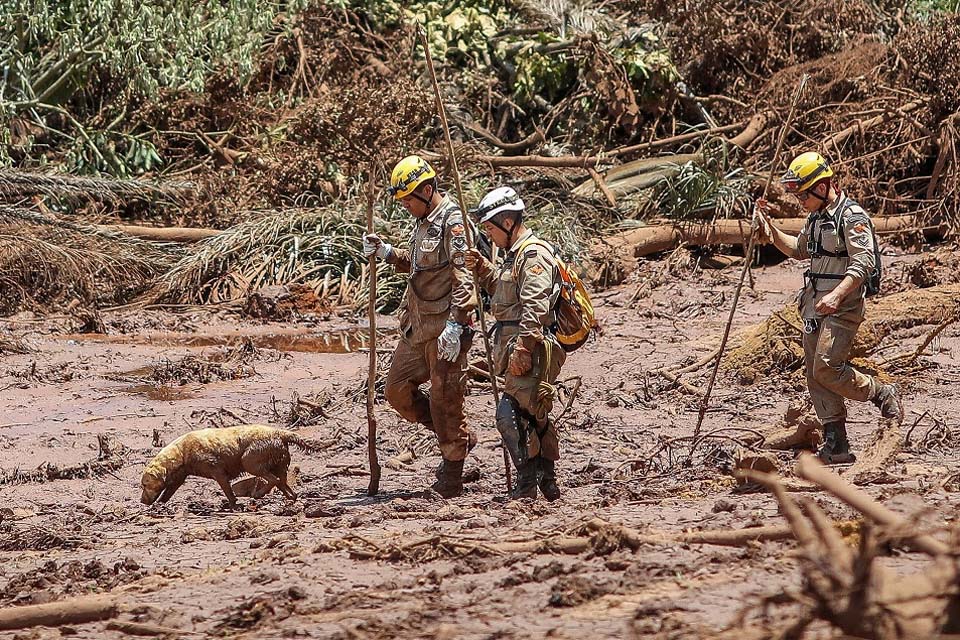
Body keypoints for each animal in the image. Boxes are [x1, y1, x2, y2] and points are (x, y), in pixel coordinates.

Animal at [141, 422, 322, 508]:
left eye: (145, 484)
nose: (142, 501)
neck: (182, 451)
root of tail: (281, 433)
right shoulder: (179, 477)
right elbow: (168, 491)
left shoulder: (217, 470)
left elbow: (227, 489)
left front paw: (233, 504)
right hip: (279, 462)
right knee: (282, 481)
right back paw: (291, 496)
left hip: (250, 460)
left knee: (273, 479)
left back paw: (258, 494)